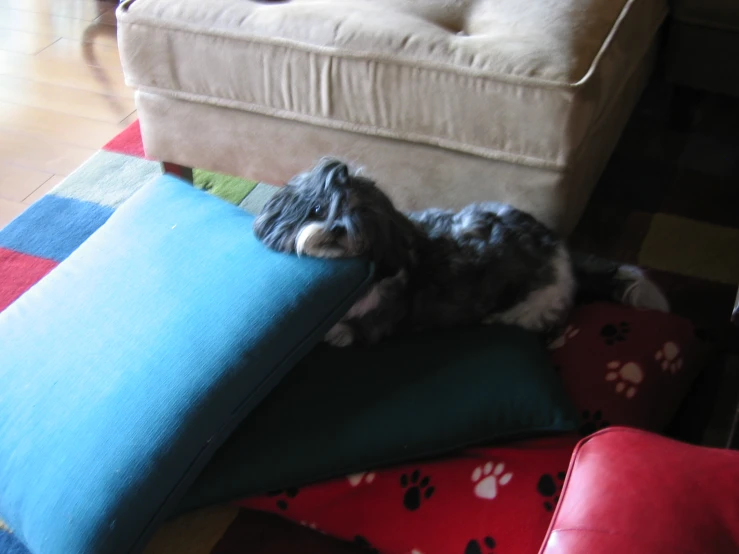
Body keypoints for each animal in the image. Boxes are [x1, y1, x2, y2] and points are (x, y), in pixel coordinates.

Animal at [254, 156, 672, 344]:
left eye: (359, 217)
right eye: (318, 209)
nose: (337, 230)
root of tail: (563, 253)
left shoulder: (375, 322)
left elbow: (346, 330)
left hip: (535, 304)